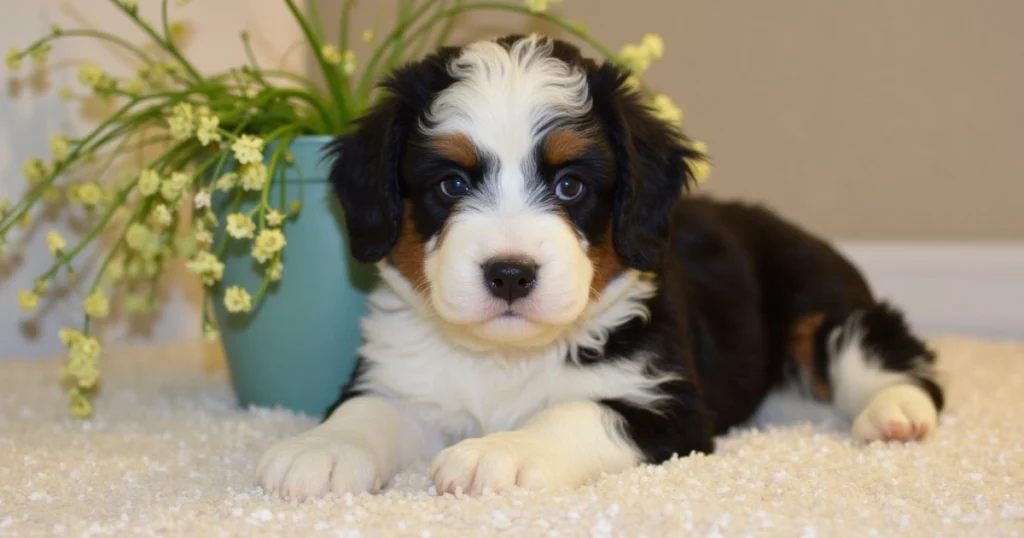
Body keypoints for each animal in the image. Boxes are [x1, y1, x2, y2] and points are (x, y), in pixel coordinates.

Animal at [253, 34, 942, 500]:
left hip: (816, 297)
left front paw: (499, 451)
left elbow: (572, 412)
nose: (510, 273)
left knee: (876, 347)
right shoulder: (401, 376)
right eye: (450, 184)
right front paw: (319, 449)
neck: (504, 361)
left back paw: (896, 413)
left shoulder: (667, 404)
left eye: (570, 187)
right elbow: (368, 409)